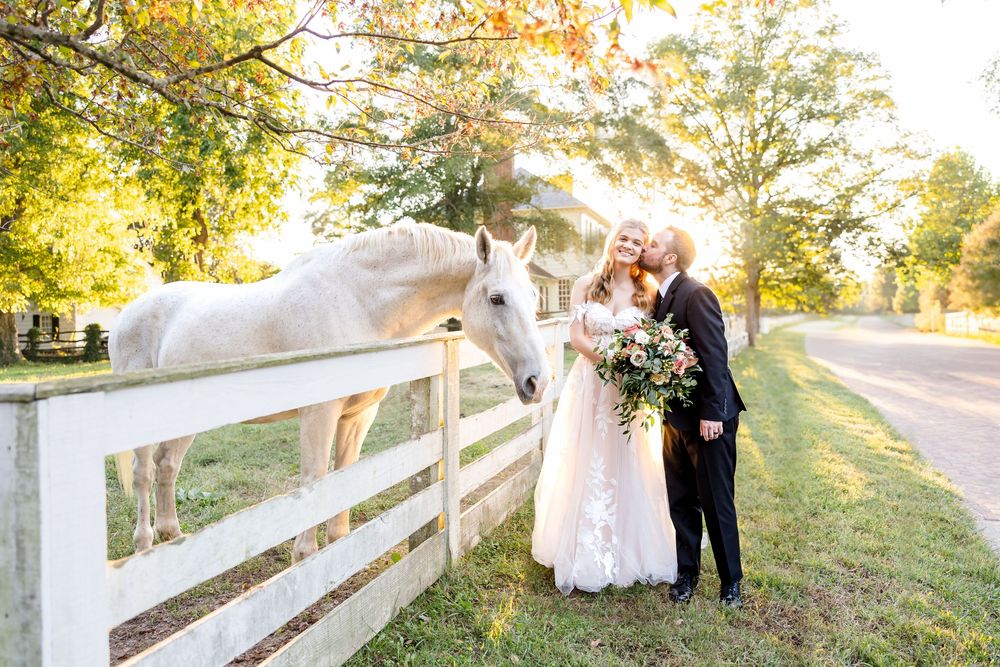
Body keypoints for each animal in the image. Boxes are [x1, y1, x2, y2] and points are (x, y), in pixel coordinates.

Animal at [109, 223, 551, 561]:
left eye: (533, 296)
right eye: (496, 298)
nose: (538, 381)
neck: (357, 302)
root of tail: (126, 315)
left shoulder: (357, 416)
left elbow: (343, 476)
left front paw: (338, 547)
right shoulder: (318, 414)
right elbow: (315, 479)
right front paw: (305, 556)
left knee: (167, 466)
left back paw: (173, 537)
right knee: (145, 472)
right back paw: (144, 544)